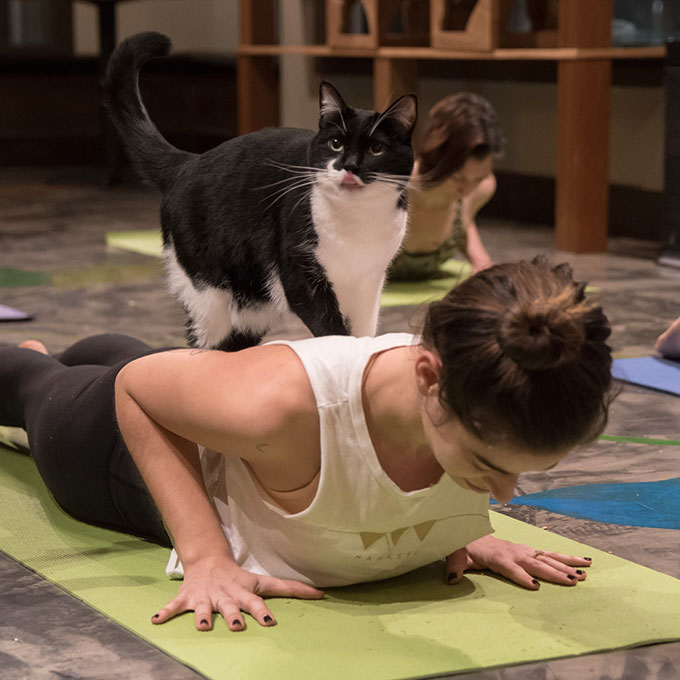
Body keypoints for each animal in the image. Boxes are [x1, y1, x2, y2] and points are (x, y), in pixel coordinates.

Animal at [103, 31, 418, 350]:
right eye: (336, 144)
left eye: (376, 149)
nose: (350, 166)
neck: (356, 222)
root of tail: (188, 162)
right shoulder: (300, 272)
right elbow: (330, 328)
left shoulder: (369, 284)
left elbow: (363, 332)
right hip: (207, 292)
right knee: (205, 343)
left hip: (253, 304)